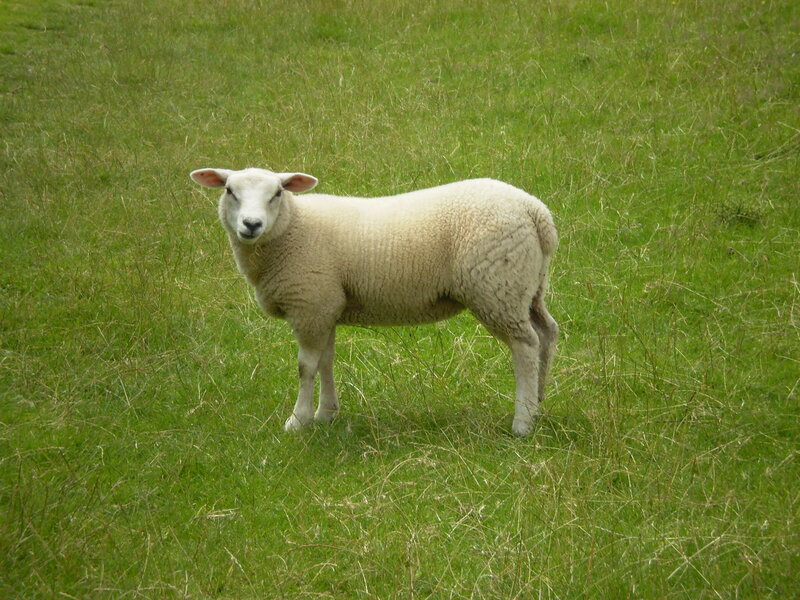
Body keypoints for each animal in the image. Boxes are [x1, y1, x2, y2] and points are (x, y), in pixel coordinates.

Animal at [189, 168, 558, 436]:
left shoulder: (310, 305)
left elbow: (306, 367)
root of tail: (536, 212)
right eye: (229, 191)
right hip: (528, 287)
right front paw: (326, 414)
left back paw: (522, 422)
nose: (251, 224)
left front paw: (298, 421)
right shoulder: (326, 306)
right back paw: (539, 401)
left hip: (497, 287)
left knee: (525, 346)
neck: (293, 227)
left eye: (277, 193)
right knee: (546, 333)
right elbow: (326, 361)